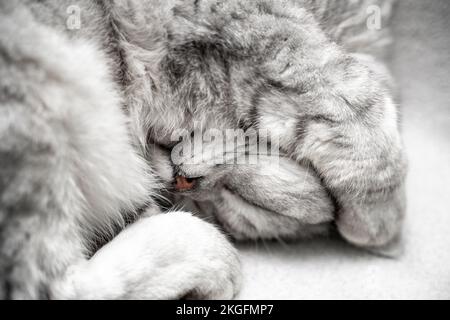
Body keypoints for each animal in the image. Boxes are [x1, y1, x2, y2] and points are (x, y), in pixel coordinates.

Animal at [0, 0, 406, 300]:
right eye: (253, 202)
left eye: (237, 203)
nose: (180, 182)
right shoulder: (261, 36)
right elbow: (361, 116)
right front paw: (382, 227)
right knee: (53, 285)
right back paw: (203, 255)